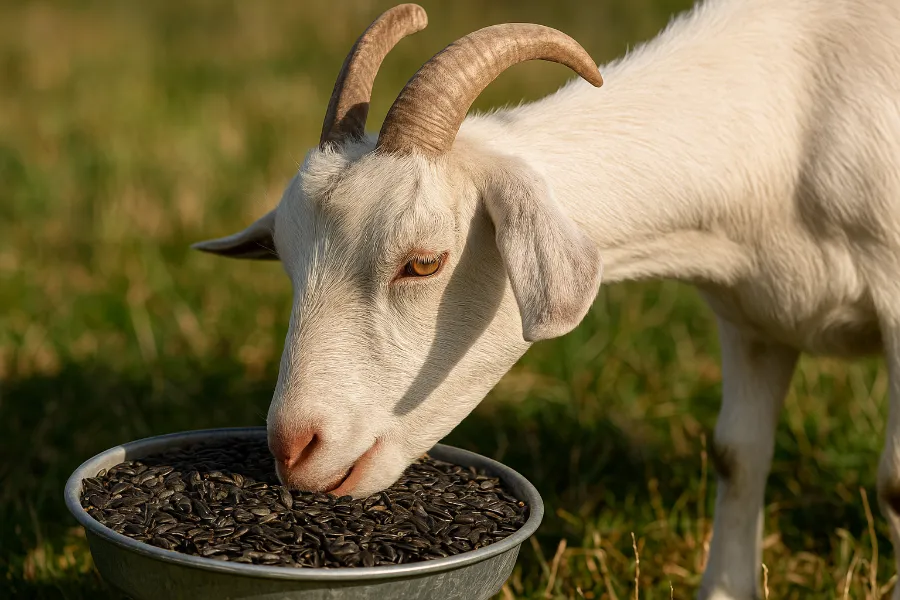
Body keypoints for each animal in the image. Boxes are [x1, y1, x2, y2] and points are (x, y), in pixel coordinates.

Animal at [193, 1, 900, 598]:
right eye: (286, 259)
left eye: (424, 263)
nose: (292, 448)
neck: (795, 118)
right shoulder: (751, 317)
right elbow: (737, 456)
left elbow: (892, 482)